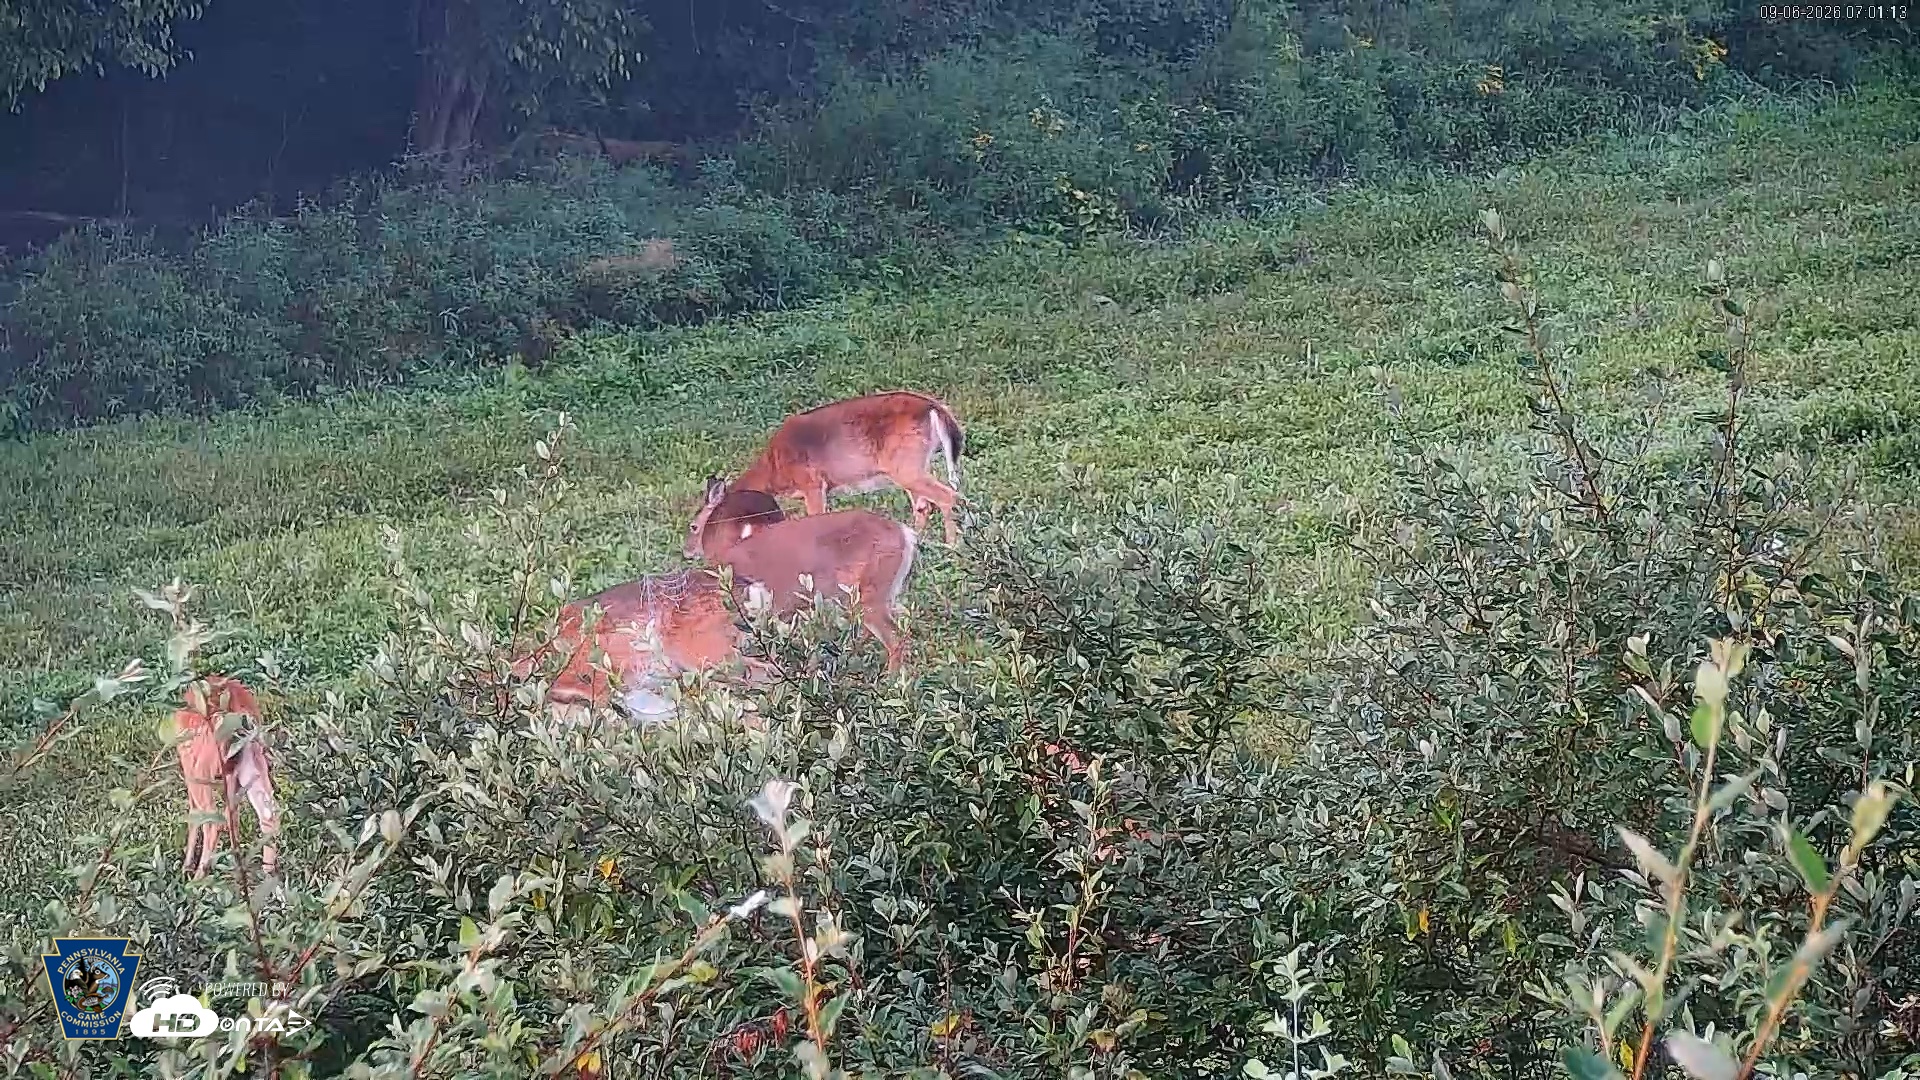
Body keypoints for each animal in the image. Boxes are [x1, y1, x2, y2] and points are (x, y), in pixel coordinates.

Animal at [171, 675, 281, 879]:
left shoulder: (188, 763)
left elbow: (194, 812)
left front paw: (186, 866)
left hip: (201, 769)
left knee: (212, 821)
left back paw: (197, 878)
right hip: (252, 759)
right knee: (267, 813)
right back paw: (267, 874)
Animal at [684, 484, 921, 669]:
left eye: (693, 526)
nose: (686, 550)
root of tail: (905, 534)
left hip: (870, 592)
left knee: (896, 638)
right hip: (883, 591)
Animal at [705, 390, 965, 546]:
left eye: (703, 520)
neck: (774, 469)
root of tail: (935, 408)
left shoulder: (811, 483)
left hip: (905, 465)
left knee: (947, 496)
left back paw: (951, 546)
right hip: (912, 466)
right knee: (924, 504)